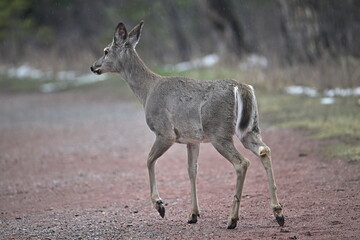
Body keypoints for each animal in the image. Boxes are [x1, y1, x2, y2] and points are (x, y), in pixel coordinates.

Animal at [90, 20, 284, 229]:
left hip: (218, 132)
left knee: (242, 162)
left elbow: (149, 159)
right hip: (250, 129)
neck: (147, 91)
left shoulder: (165, 132)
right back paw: (278, 213)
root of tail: (241, 87)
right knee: (264, 150)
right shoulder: (192, 140)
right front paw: (193, 214)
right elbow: (192, 171)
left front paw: (160, 205)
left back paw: (232, 219)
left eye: (106, 50)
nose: (93, 66)